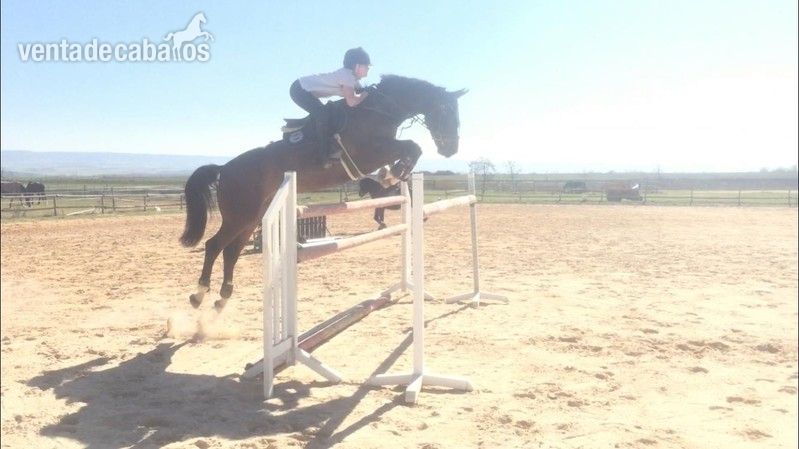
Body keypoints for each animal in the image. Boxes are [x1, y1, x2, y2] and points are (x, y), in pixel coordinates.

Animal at [180, 75, 467, 310]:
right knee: (214, 245)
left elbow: (412, 149)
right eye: (446, 113)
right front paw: (392, 173)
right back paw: (199, 294)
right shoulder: (369, 155)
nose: (451, 150)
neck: (380, 110)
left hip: (252, 218)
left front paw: (394, 174)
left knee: (231, 251)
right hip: (239, 216)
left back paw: (222, 297)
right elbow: (412, 146)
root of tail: (224, 168)